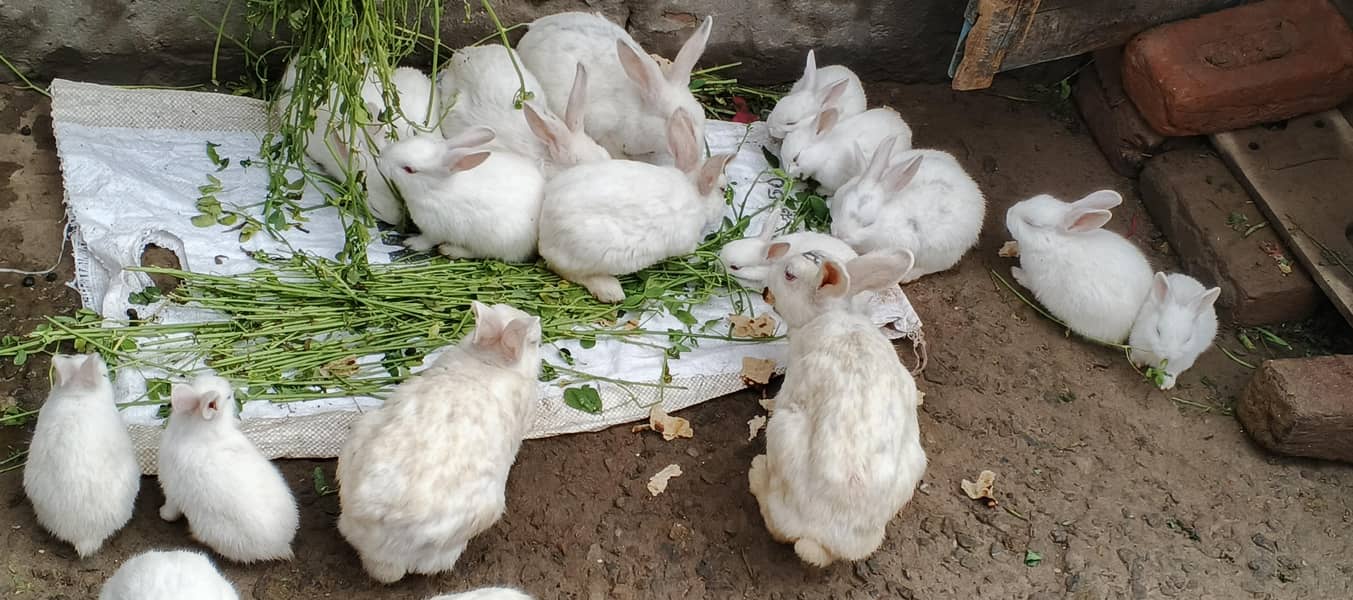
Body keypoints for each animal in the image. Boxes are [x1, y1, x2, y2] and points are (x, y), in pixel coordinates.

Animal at [157, 375, 299, 563]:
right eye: (229, 397)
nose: (230, 385)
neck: (199, 430)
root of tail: (282, 545)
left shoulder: (172, 493)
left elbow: (171, 510)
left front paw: (162, 514)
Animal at [377, 127, 545, 262]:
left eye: (409, 169)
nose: (381, 157)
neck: (434, 189)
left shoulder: (434, 229)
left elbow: (428, 240)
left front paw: (412, 243)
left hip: (493, 240)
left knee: (481, 253)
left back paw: (450, 250)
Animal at [538, 108, 734, 303]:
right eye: (722, 189)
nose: (723, 208)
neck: (694, 193)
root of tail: (545, 232)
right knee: (568, 271)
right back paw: (611, 291)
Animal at [749, 245, 927, 567]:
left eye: (789, 274)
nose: (766, 290)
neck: (829, 314)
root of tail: (827, 540)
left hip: (781, 429)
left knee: (778, 527)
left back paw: (756, 473)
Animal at [1005, 190, 1154, 344]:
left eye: (1030, 223)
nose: (1009, 212)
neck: (1054, 242)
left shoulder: (1037, 280)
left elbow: (1028, 281)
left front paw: (1015, 273)